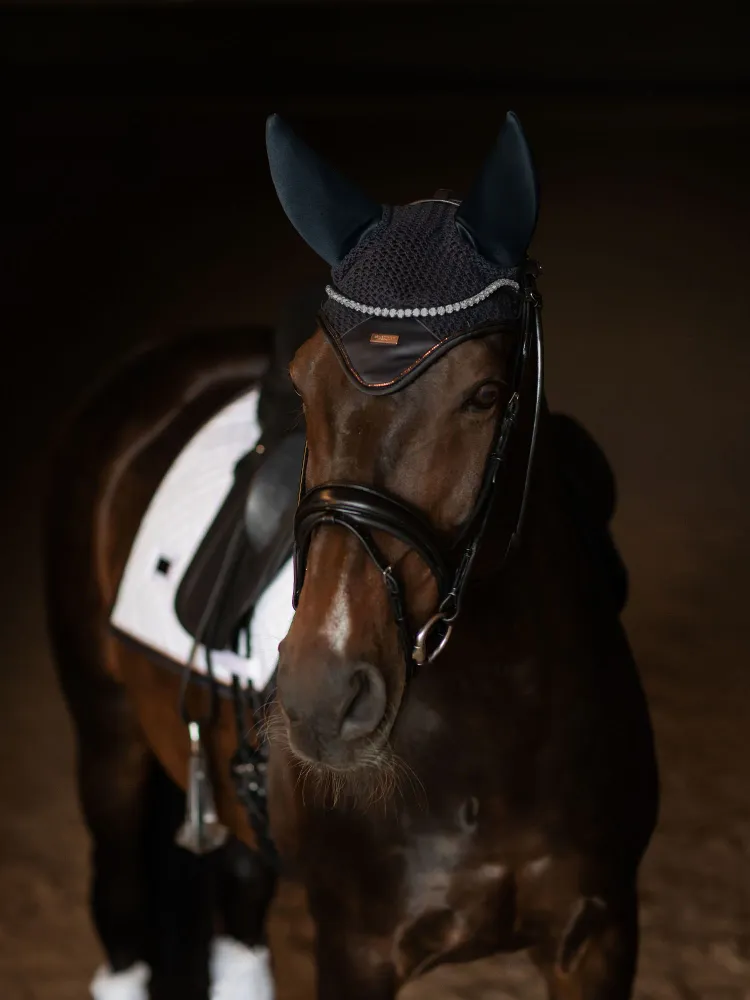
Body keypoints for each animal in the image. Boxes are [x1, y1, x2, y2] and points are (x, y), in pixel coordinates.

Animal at [43, 110, 659, 1000]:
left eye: (482, 395)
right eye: (304, 386)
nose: (323, 695)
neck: (502, 730)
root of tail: (145, 370)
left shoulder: (601, 936)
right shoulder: (357, 949)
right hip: (109, 737)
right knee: (123, 918)